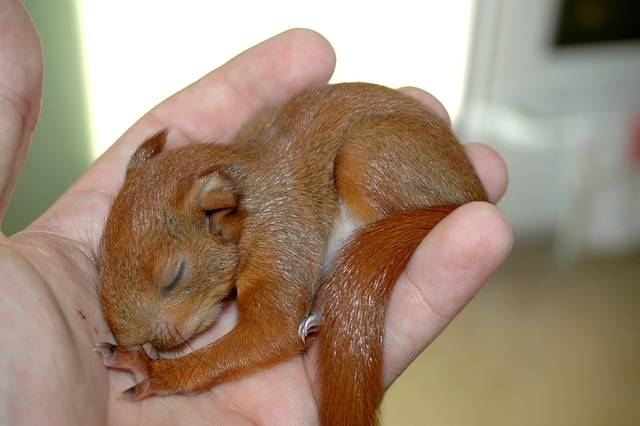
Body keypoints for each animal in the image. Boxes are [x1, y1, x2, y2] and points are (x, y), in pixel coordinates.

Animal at [94, 81, 484, 424]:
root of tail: (472, 196)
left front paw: (154, 371)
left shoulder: (282, 234)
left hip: (367, 156)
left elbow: (275, 329)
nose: (134, 340)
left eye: (175, 274)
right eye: (100, 260)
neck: (247, 204)